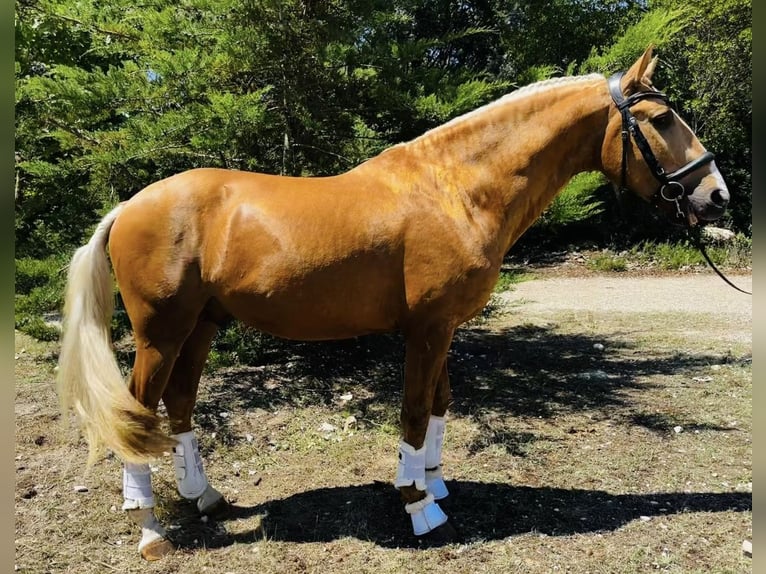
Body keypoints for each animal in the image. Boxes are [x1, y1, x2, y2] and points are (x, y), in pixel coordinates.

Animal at [57, 47, 728, 560]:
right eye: (662, 118)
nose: (717, 196)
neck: (456, 189)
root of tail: (129, 205)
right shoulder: (425, 329)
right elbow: (411, 412)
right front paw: (418, 508)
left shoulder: (445, 327)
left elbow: (438, 406)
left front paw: (432, 483)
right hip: (160, 333)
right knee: (138, 414)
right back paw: (150, 531)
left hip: (201, 326)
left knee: (180, 404)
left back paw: (204, 497)